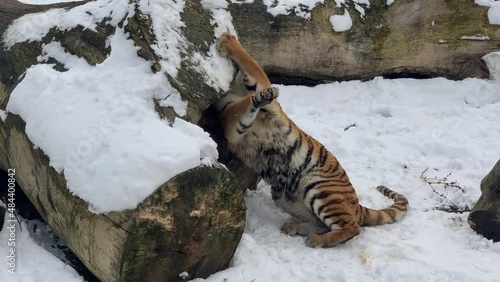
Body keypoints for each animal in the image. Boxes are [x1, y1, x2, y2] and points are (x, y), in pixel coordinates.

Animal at [214, 33, 406, 248]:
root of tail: (358, 206)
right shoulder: (230, 123)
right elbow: (242, 104)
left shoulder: (261, 95)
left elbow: (250, 63)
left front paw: (228, 41)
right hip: (284, 197)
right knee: (327, 224)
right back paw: (295, 228)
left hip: (319, 187)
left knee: (352, 227)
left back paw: (316, 240)